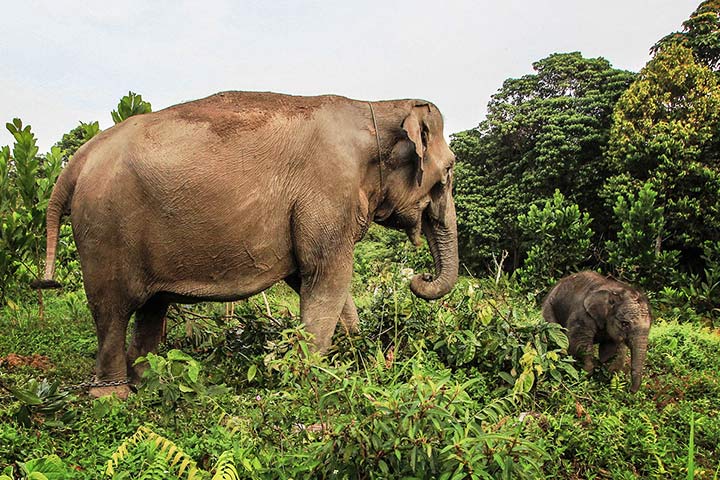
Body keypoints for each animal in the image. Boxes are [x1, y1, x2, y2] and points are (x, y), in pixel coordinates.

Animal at [32, 91, 459, 398]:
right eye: (451, 169)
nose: (418, 278)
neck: (378, 106)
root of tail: (79, 158)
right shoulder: (328, 191)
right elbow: (325, 275)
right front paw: (311, 377)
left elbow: (310, 279)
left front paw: (358, 360)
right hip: (105, 226)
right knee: (111, 309)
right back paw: (113, 396)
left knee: (152, 308)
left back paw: (150, 384)